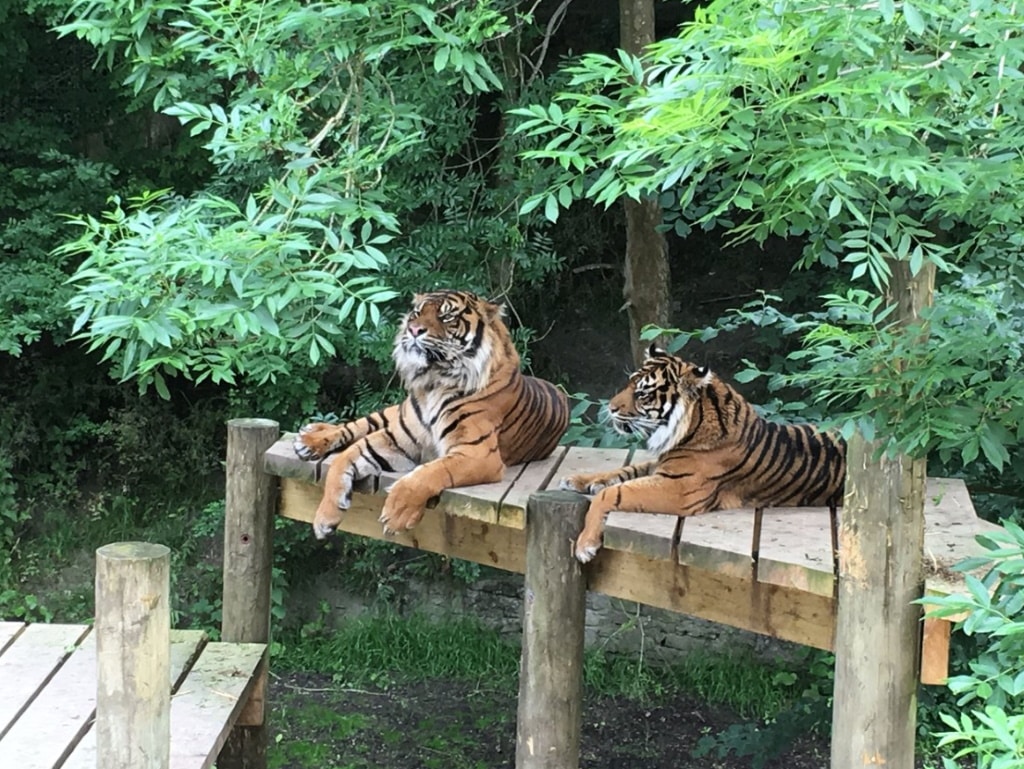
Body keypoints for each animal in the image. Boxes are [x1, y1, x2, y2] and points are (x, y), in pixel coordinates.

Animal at [292, 290, 573, 540]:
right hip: (393, 414)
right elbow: (343, 460)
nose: (414, 330)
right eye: (417, 313)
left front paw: (398, 513)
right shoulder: (396, 438)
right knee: (357, 425)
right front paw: (324, 519)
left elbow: (429, 473)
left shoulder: (477, 454)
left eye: (446, 317)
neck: (433, 381)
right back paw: (310, 438)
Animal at [565, 346, 843, 561]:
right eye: (629, 383)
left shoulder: (680, 488)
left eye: (642, 393)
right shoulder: (664, 465)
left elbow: (613, 492)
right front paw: (576, 479)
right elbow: (623, 471)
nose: (610, 408)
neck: (689, 429)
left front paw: (584, 545)